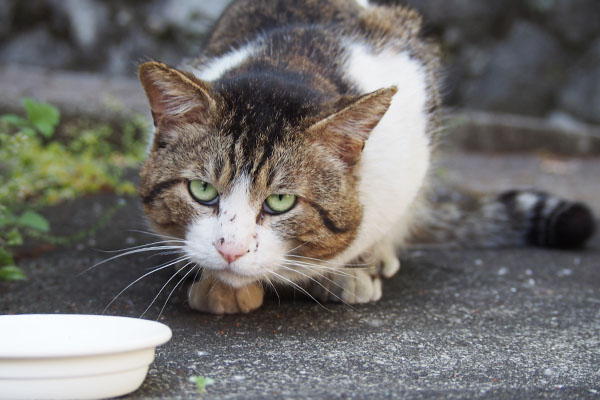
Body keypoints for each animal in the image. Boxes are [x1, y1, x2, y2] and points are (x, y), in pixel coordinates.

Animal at [137, 0, 596, 312]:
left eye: (281, 201)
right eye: (202, 191)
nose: (230, 250)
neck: (287, 62)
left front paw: (353, 270)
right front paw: (219, 286)